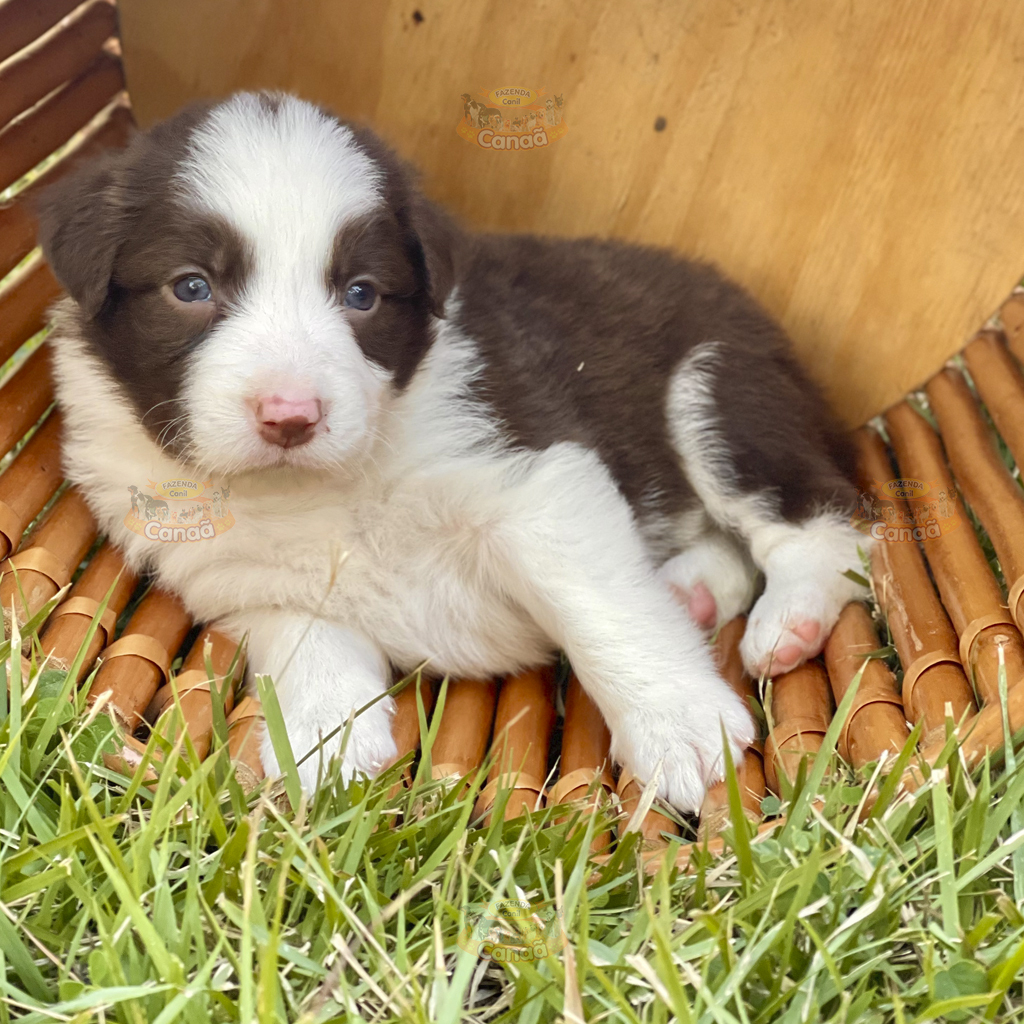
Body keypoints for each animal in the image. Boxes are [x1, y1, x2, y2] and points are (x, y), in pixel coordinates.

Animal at [36, 90, 864, 806]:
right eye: (190, 287)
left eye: (362, 294)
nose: (291, 416)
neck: (322, 486)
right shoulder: (245, 584)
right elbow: (310, 643)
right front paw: (325, 742)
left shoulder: (535, 480)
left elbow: (602, 608)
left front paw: (678, 724)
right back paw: (693, 592)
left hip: (719, 392)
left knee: (830, 522)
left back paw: (787, 627)